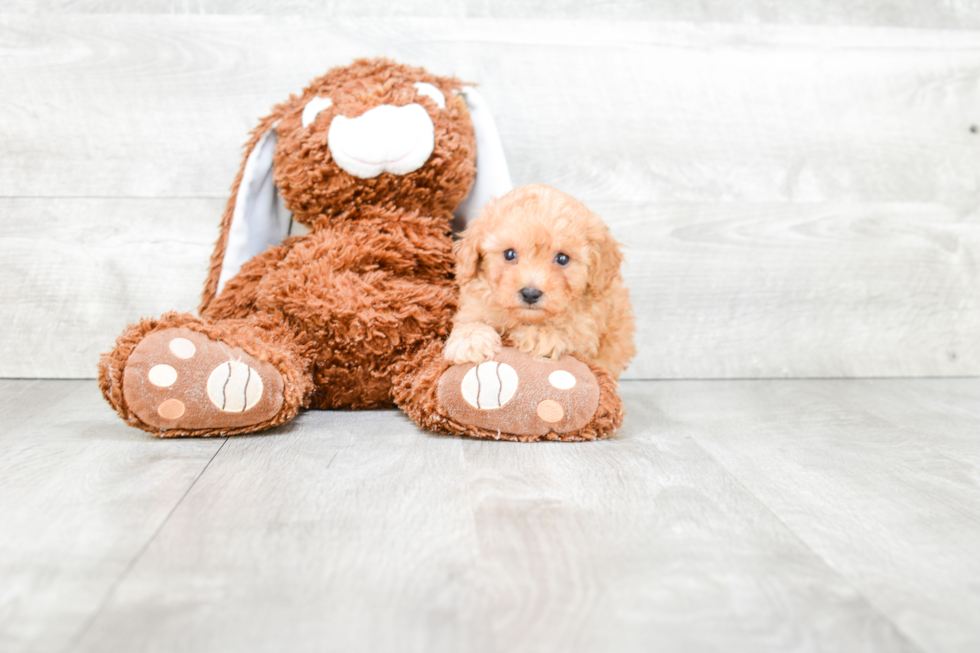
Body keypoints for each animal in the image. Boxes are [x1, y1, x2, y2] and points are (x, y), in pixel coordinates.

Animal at [444, 182, 636, 376]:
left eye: (562, 259)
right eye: (509, 254)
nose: (530, 293)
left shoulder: (587, 328)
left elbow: (569, 328)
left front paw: (541, 334)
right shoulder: (474, 303)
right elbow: (470, 320)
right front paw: (470, 340)